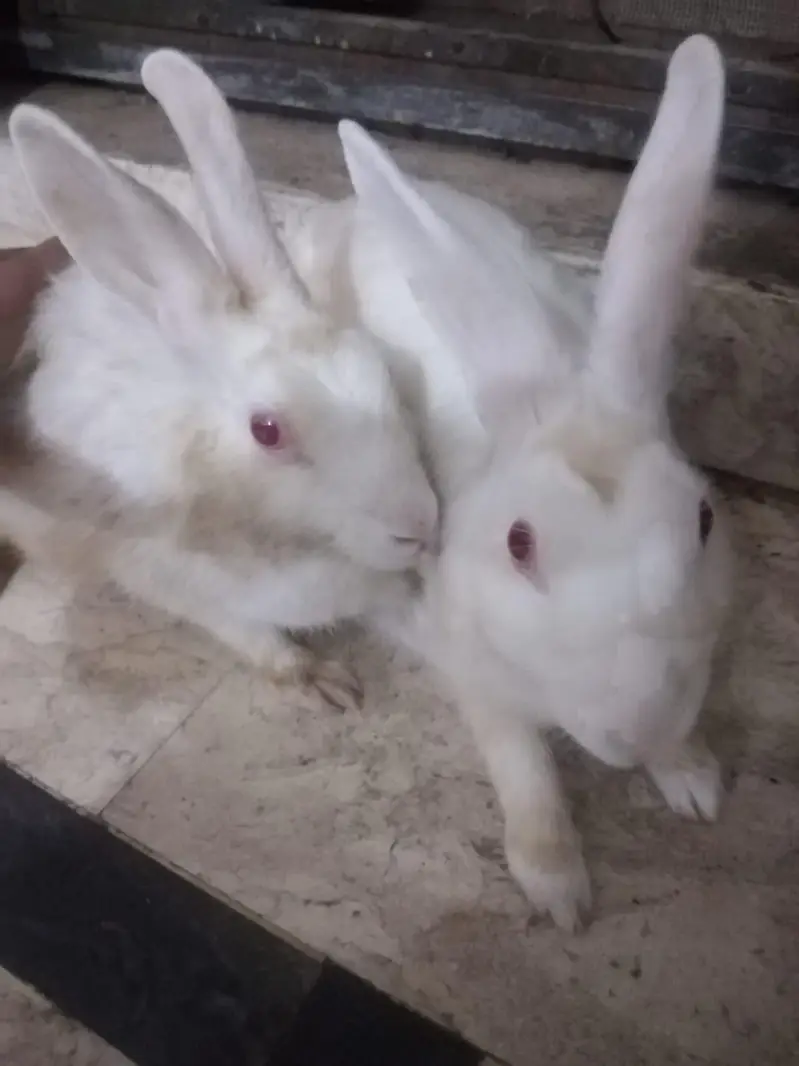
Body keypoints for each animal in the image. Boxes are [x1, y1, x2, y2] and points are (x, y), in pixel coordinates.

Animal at [0, 48, 438, 711]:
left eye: (382, 370)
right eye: (268, 431)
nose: (420, 525)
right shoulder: (162, 573)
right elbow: (248, 634)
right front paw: (322, 684)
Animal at [335, 35, 734, 926]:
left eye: (703, 520)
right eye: (518, 543)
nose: (634, 729)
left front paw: (693, 783)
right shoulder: (476, 671)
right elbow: (523, 769)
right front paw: (557, 891)